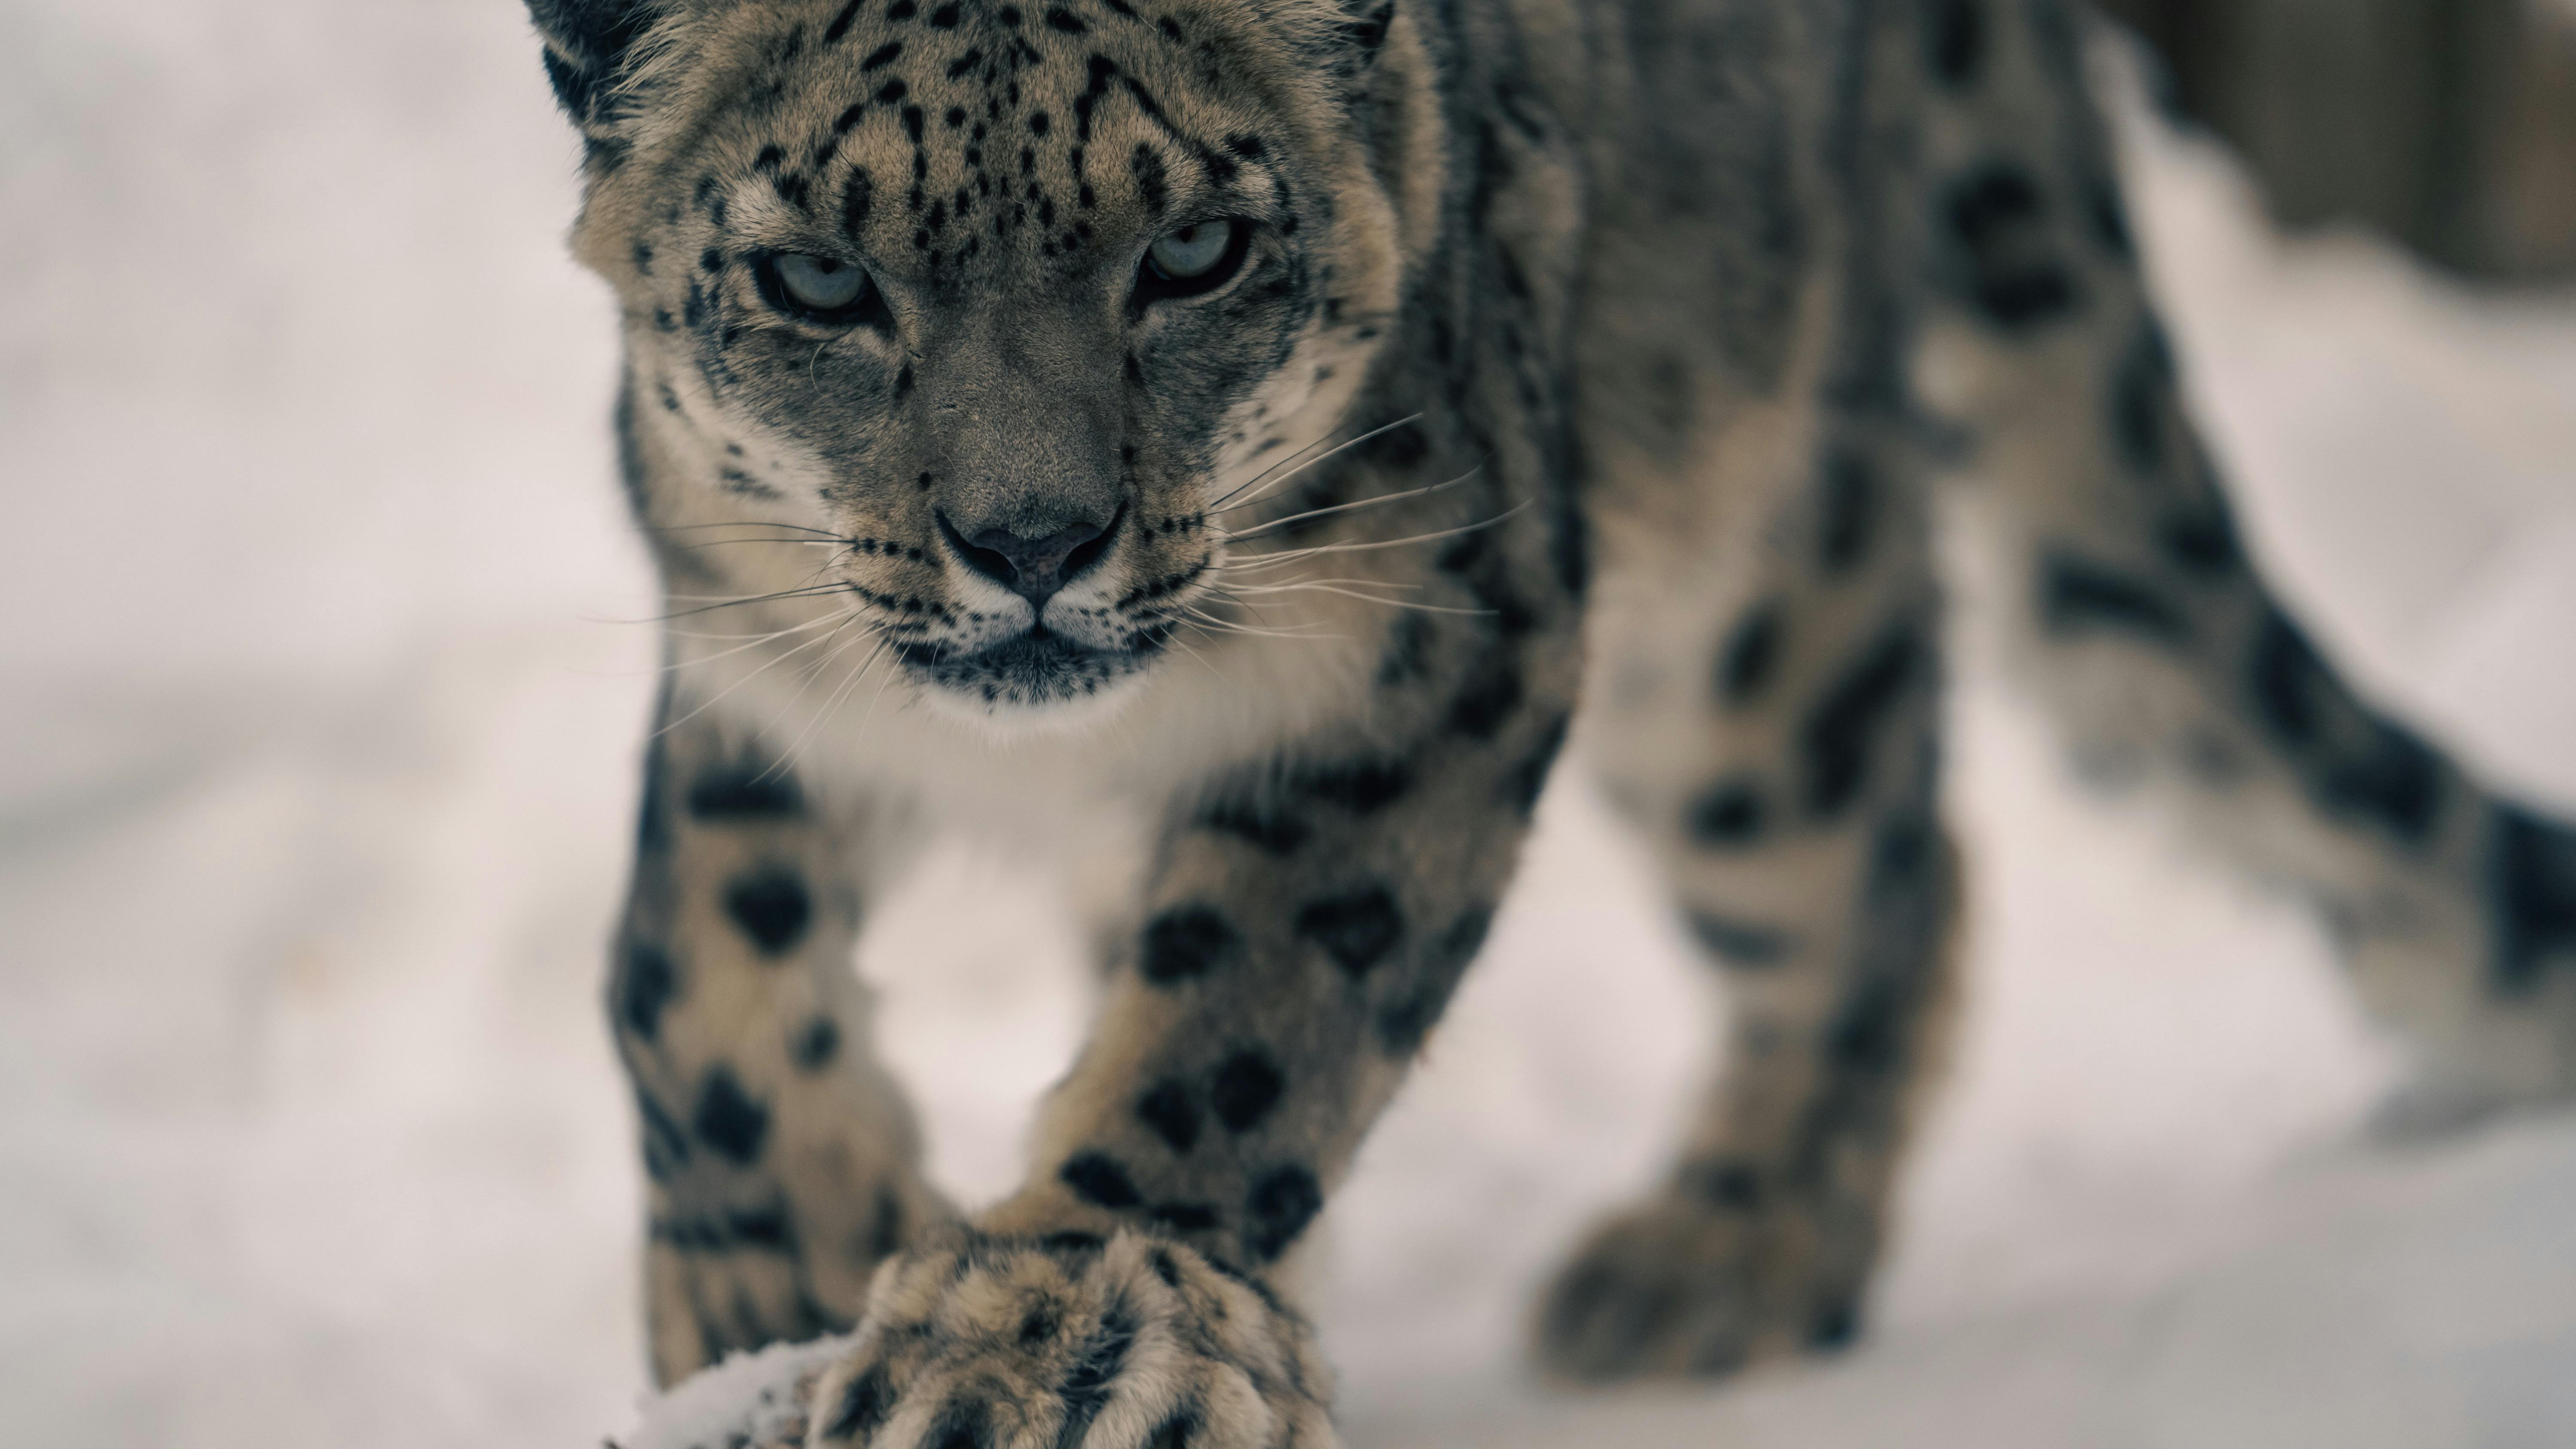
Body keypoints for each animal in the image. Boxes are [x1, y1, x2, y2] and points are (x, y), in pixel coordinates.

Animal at [518, 0, 2576, 1443]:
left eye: (1192, 251)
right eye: (814, 276)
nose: (1031, 541)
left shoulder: (1426, 639)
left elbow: (1250, 1009)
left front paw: (1048, 1328)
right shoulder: (753, 665)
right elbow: (686, 976)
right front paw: (772, 1286)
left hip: (1752, 626)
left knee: (1892, 861)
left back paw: (1725, 1248)